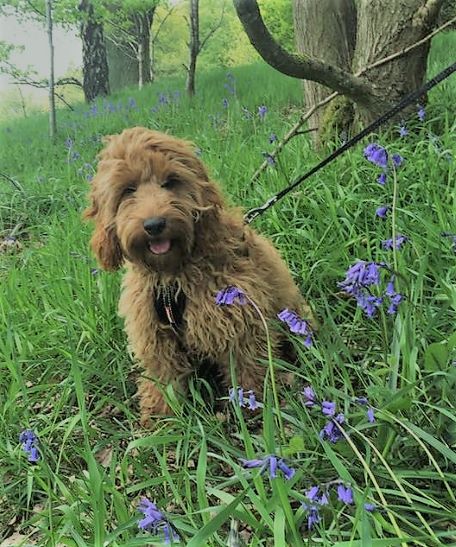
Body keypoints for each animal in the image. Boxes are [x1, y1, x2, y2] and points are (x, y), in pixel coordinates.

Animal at [83, 126, 316, 426]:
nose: (154, 224)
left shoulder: (239, 321)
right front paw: (163, 420)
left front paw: (252, 407)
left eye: (171, 182)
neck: (173, 276)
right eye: (128, 190)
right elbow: (163, 378)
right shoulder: (155, 336)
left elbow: (248, 366)